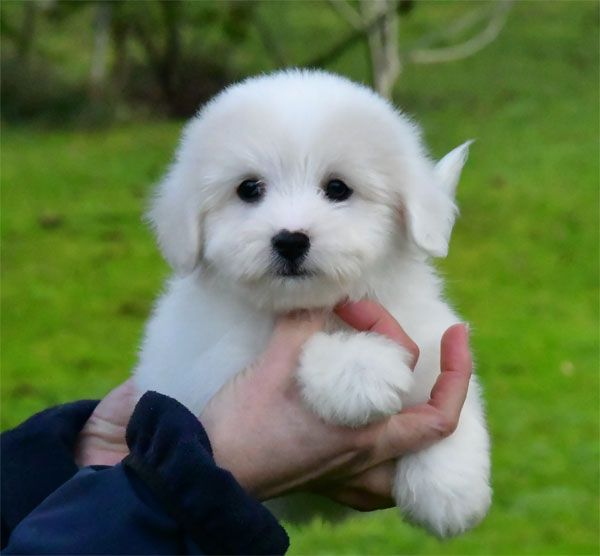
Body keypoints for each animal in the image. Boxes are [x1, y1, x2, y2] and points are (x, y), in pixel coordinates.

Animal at [135, 69, 492, 540]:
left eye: (338, 188)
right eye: (249, 189)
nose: (290, 239)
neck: (317, 308)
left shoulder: (430, 337)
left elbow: (452, 406)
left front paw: (451, 491)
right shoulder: (205, 370)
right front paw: (358, 369)